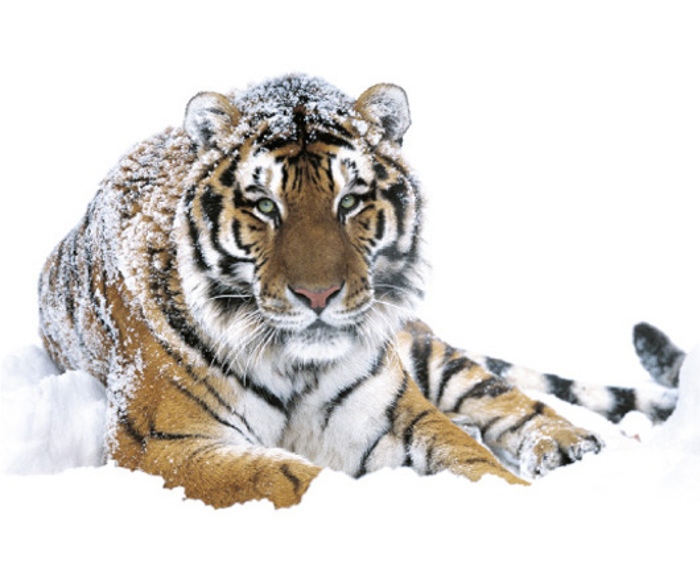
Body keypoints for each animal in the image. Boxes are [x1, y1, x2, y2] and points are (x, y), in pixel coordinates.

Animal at [39, 74, 625, 509]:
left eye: (350, 201)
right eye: (265, 205)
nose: (318, 296)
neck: (294, 365)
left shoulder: (389, 416)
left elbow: (472, 461)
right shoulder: (160, 444)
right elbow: (286, 479)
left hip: (423, 350)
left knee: (499, 394)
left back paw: (569, 444)